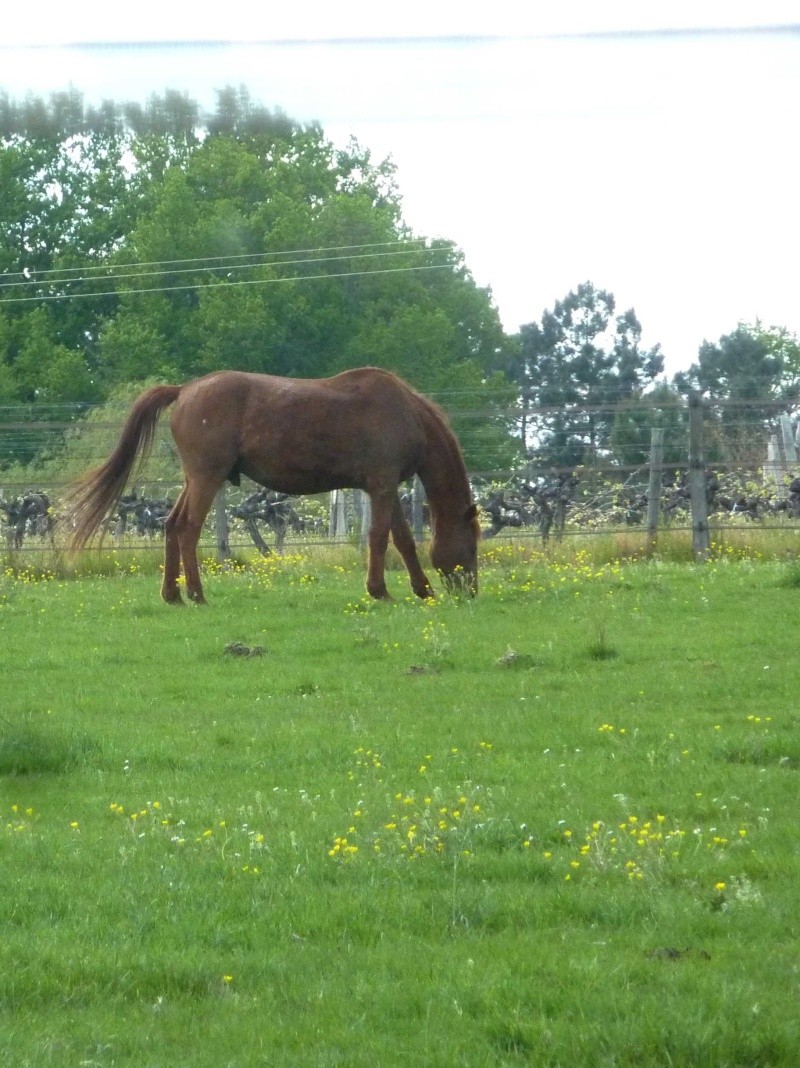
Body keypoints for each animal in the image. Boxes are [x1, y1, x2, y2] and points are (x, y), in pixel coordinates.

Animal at [68, 365, 478, 602]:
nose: (471, 590)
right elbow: (380, 537)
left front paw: (422, 589)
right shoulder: (382, 485)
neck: (405, 411)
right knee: (187, 528)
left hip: (194, 479)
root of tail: (184, 390)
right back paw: (197, 593)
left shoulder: (386, 488)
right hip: (207, 478)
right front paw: (380, 591)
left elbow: (404, 540)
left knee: (171, 525)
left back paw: (172, 594)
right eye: (472, 542)